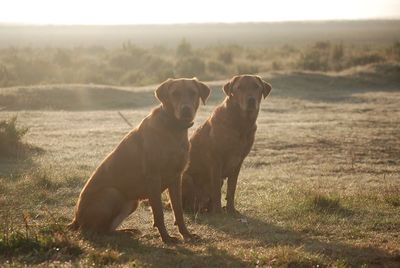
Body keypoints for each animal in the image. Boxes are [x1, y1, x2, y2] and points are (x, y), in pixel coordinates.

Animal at [69, 77, 211, 243]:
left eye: (193, 93)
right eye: (175, 94)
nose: (186, 109)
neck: (173, 128)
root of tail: (75, 219)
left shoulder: (176, 178)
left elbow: (178, 211)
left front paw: (186, 234)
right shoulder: (153, 178)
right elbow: (159, 213)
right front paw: (166, 238)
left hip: (132, 202)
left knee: (107, 230)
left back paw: (125, 232)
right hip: (113, 192)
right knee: (94, 231)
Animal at [182, 74, 272, 215]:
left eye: (256, 87)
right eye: (239, 87)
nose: (251, 100)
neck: (241, 123)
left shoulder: (238, 162)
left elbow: (232, 189)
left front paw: (231, 210)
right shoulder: (216, 160)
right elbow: (216, 191)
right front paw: (218, 213)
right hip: (186, 178)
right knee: (189, 205)